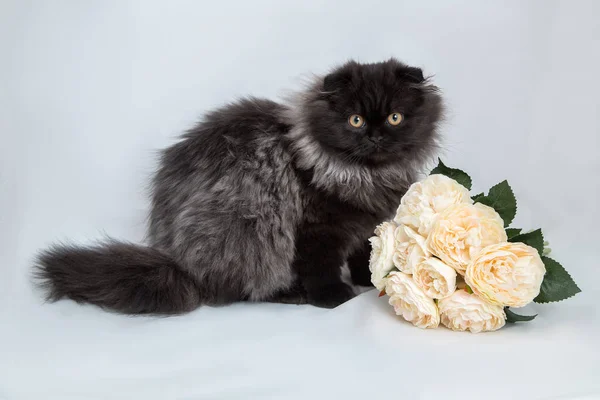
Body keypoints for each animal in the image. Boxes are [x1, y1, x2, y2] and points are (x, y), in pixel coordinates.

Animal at [35, 58, 442, 316]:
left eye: (395, 118)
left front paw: (369, 283)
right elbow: (321, 266)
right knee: (241, 290)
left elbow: (364, 257)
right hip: (251, 232)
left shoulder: (365, 225)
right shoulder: (317, 229)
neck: (363, 176)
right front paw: (334, 297)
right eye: (355, 120)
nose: (374, 136)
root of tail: (179, 263)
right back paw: (292, 295)